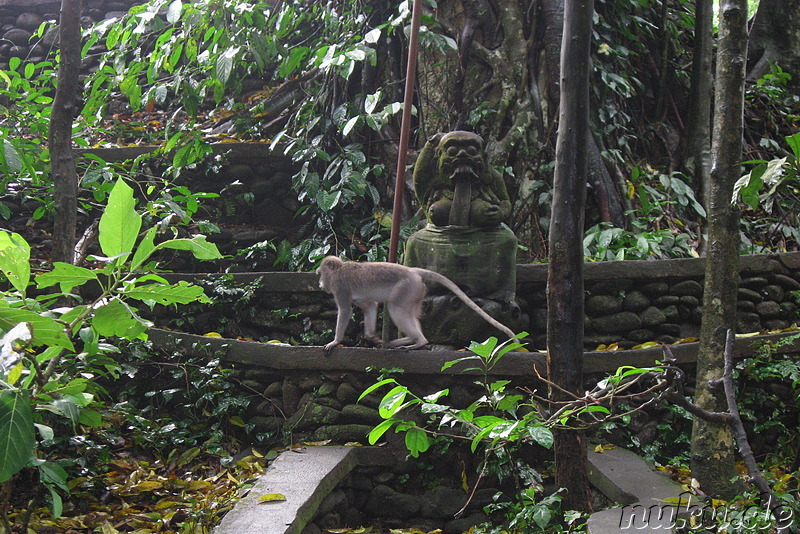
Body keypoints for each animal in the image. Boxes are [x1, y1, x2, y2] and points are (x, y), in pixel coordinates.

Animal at [316, 258, 516, 358]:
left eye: (320, 274)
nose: (319, 284)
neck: (339, 269)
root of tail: (412, 270)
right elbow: (370, 305)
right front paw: (371, 336)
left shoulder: (340, 287)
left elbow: (345, 311)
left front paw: (335, 342)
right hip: (416, 290)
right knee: (406, 312)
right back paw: (415, 341)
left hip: (407, 287)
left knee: (395, 307)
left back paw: (416, 341)